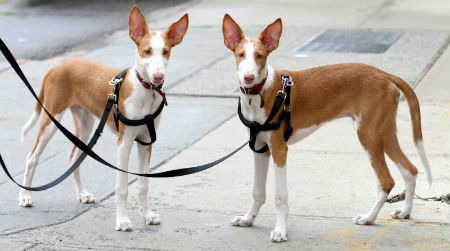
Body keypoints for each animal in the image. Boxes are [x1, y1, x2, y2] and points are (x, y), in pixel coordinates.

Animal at [18, 4, 188, 231]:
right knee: (32, 157)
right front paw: (123, 220)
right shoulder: (124, 143)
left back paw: (82, 194)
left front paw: (147, 215)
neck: (146, 92)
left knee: (74, 157)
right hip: (52, 118)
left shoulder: (146, 142)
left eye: (166, 52)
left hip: (86, 123)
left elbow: (144, 185)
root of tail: (57, 66)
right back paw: (25, 196)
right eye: (147, 51)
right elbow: (122, 186)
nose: (158, 77)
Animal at [221, 14, 432, 243]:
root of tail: (383, 73)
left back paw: (368, 218)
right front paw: (248, 219)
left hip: (369, 135)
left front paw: (281, 231)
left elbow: (280, 196)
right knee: (410, 170)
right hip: (383, 133)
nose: (248, 77)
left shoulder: (279, 150)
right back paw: (405, 212)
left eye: (260, 56)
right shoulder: (261, 149)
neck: (259, 94)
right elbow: (257, 191)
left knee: (386, 181)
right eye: (241, 55)